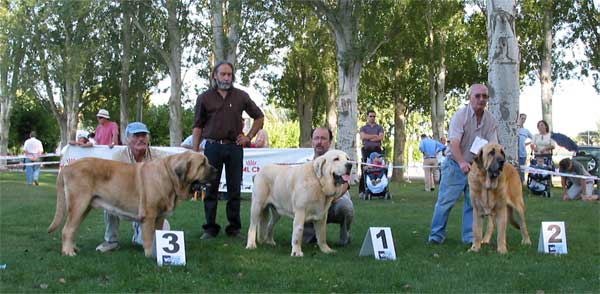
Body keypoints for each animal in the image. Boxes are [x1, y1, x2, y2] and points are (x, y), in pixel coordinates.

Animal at [47, 152, 216, 258]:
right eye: (202, 164)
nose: (216, 169)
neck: (169, 176)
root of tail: (67, 167)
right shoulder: (150, 215)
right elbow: (149, 237)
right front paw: (149, 255)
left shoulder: (159, 217)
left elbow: (157, 234)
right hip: (79, 204)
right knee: (67, 229)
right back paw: (68, 252)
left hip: (84, 208)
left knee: (72, 229)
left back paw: (73, 248)